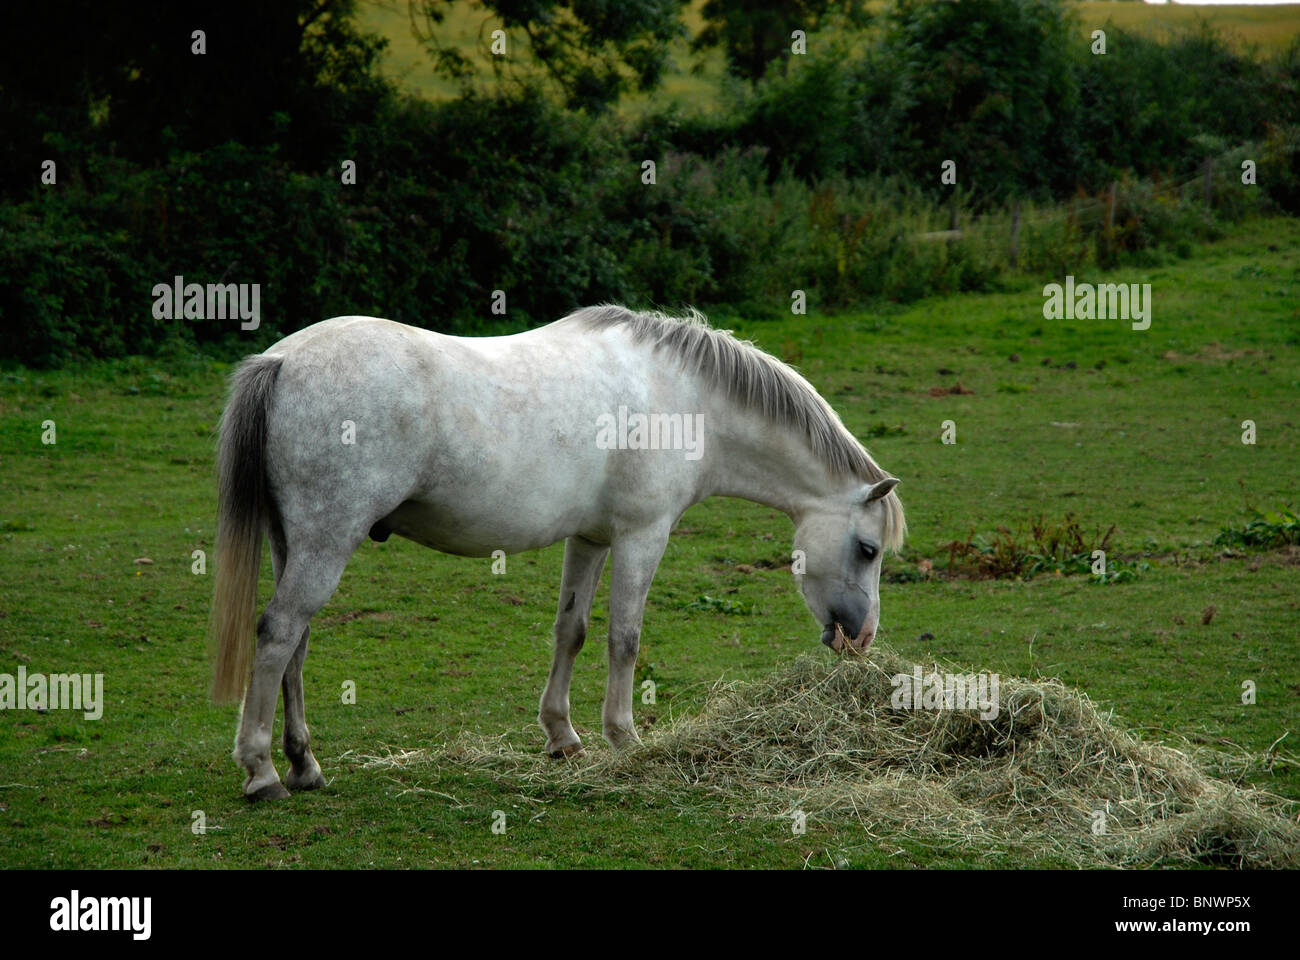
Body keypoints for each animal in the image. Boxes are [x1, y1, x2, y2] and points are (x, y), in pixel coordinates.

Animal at [210, 308, 904, 801]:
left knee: (296, 644)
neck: (683, 397)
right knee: (278, 633)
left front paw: (562, 736)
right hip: (326, 541)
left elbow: (571, 630)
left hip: (296, 543)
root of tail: (282, 359)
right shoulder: (643, 536)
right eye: (868, 549)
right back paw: (261, 771)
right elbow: (625, 637)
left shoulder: (591, 539)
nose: (863, 638)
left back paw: (303, 764)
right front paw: (625, 738)